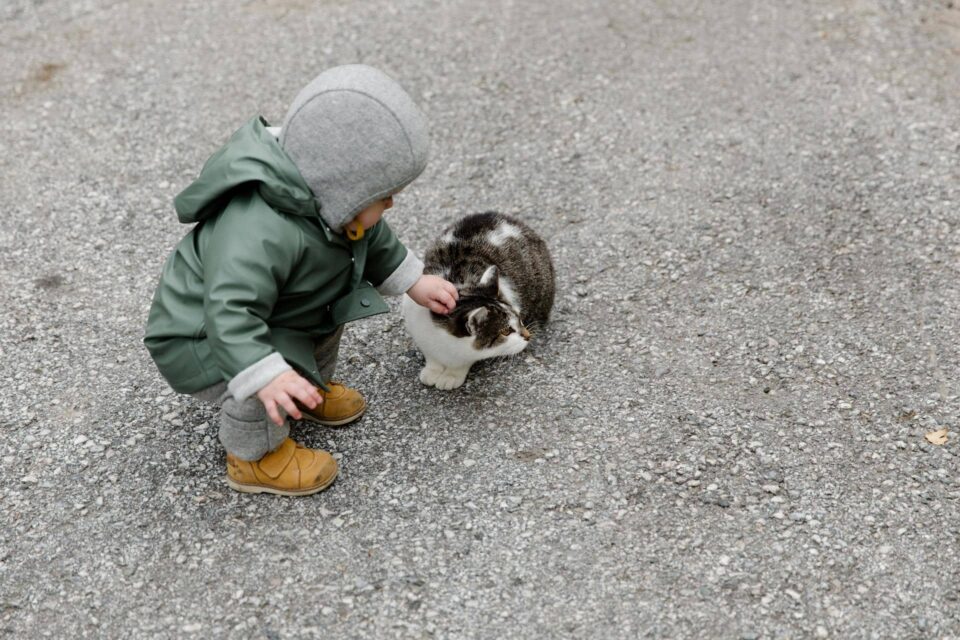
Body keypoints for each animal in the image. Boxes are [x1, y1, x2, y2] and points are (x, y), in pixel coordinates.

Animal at [404, 212, 556, 388]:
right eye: (506, 331)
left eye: (519, 319)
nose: (527, 335)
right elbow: (431, 355)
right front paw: (432, 370)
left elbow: (464, 361)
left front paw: (452, 375)